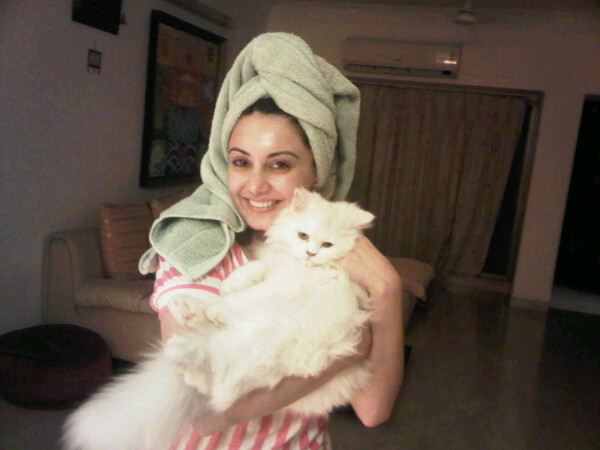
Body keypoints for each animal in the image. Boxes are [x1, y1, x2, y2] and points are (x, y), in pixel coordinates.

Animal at [63, 188, 375, 450]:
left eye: (327, 244)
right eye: (303, 236)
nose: (310, 253)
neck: (295, 264)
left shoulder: (288, 282)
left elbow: (247, 293)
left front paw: (223, 300)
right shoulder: (271, 266)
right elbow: (249, 274)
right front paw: (230, 285)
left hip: (269, 335)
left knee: (220, 384)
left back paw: (189, 345)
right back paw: (187, 309)